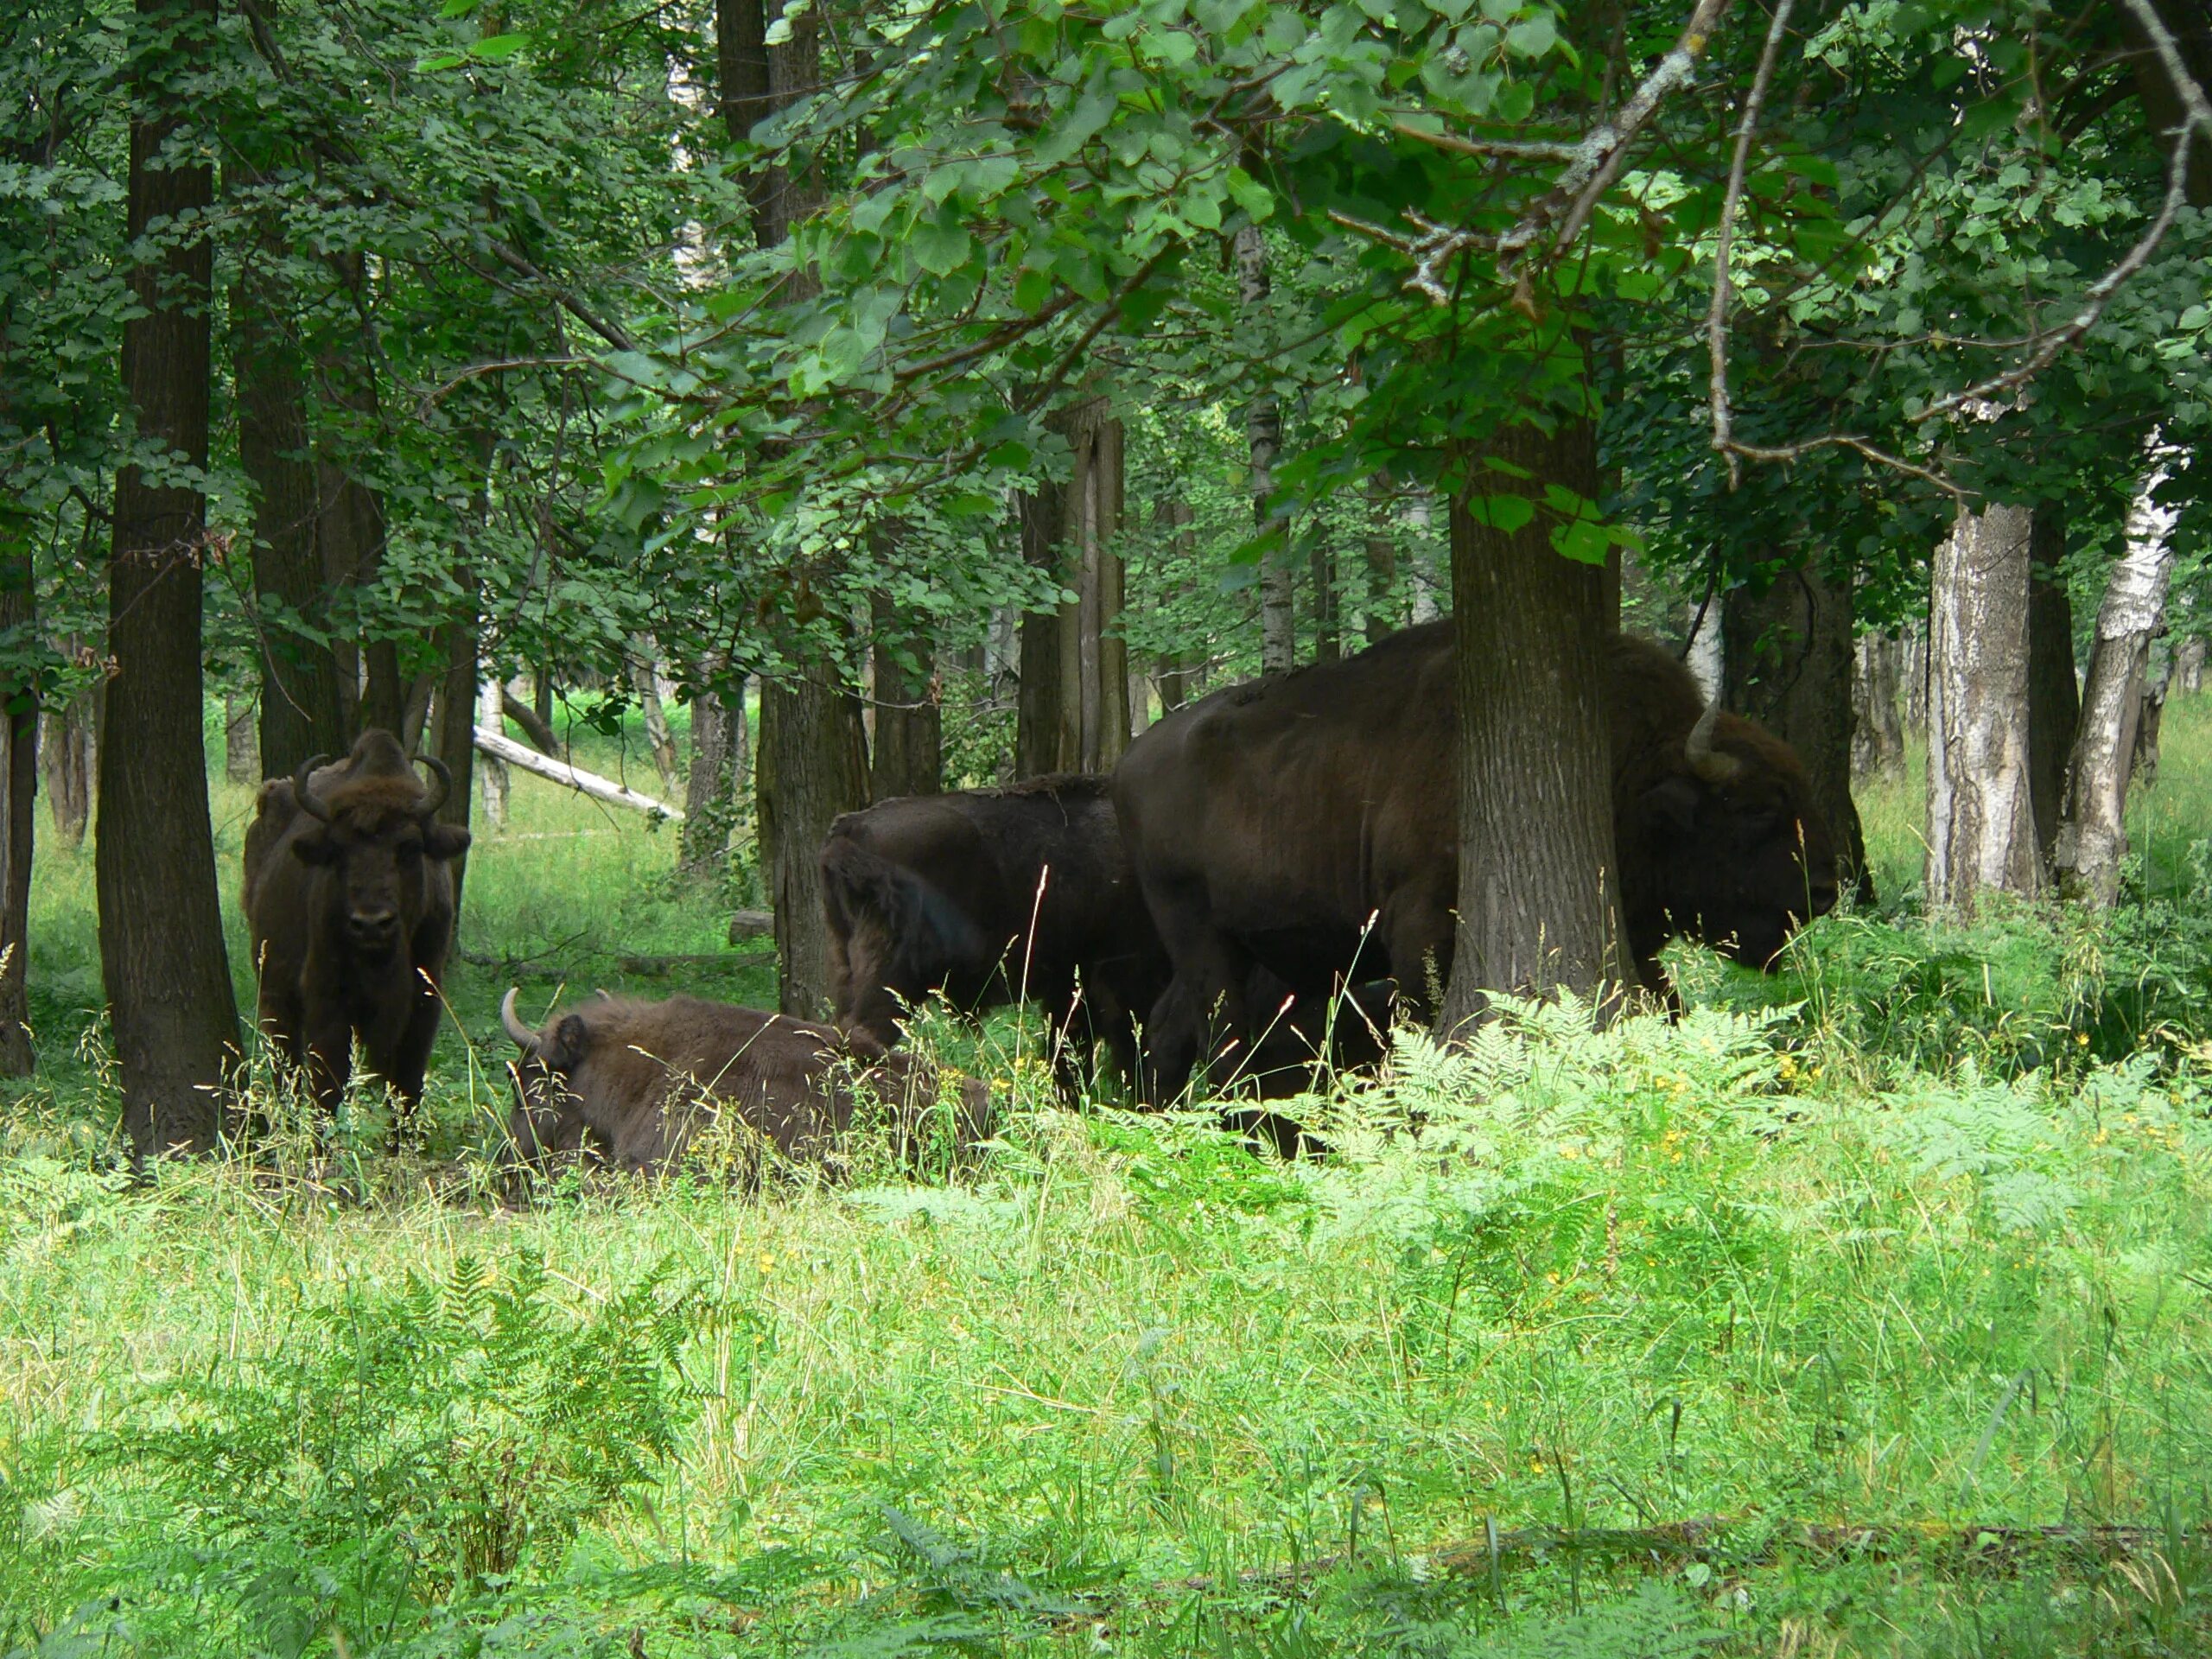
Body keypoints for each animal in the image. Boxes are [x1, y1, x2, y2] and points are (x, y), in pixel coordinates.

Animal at [241, 734, 467, 1123]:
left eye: (410, 847)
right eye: (338, 849)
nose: (371, 924)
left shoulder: (424, 1002)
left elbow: (407, 1086)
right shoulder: (328, 1000)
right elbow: (327, 1084)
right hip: (273, 989)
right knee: (285, 1062)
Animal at [1115, 619, 1840, 1096]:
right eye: (1757, 810)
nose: (1825, 890)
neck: (1632, 773)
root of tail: (1131, 761)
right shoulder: (1419, 934)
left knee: (1173, 1027)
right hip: (1203, 939)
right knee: (1220, 1035)